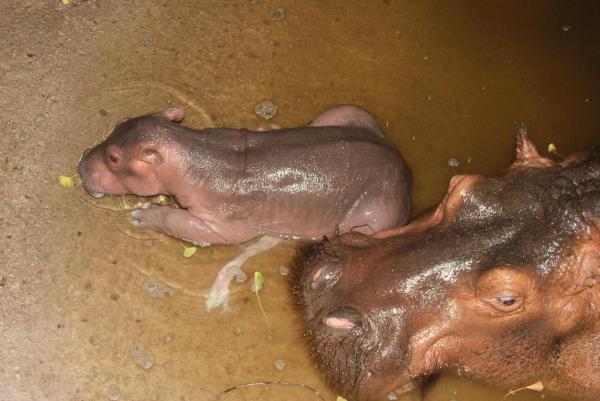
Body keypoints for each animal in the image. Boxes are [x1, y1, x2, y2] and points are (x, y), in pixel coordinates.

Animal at [77, 104, 410, 244]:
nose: (81, 164)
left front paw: (144, 215)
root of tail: (402, 168)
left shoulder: (222, 224)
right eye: (122, 121)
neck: (193, 152)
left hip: (375, 215)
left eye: (113, 157)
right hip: (348, 112)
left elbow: (184, 224)